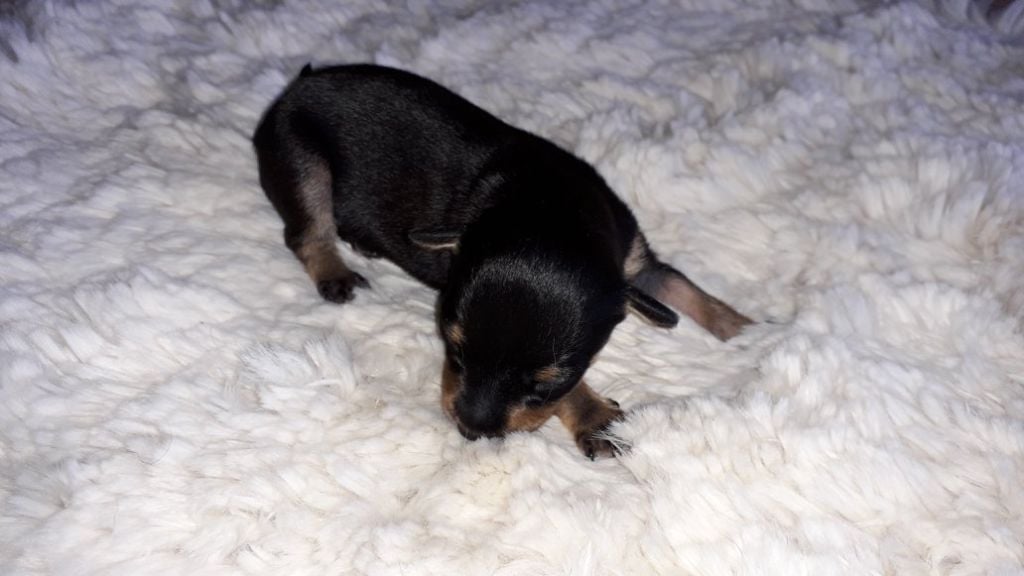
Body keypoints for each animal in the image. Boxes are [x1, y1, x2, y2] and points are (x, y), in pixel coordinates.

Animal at [252, 64, 751, 459]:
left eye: (541, 384)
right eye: (455, 354)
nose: (472, 431)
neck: (553, 211)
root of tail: (300, 82)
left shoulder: (636, 265)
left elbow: (686, 288)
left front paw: (747, 330)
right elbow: (577, 392)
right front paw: (594, 418)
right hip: (300, 160)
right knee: (308, 231)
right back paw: (334, 271)